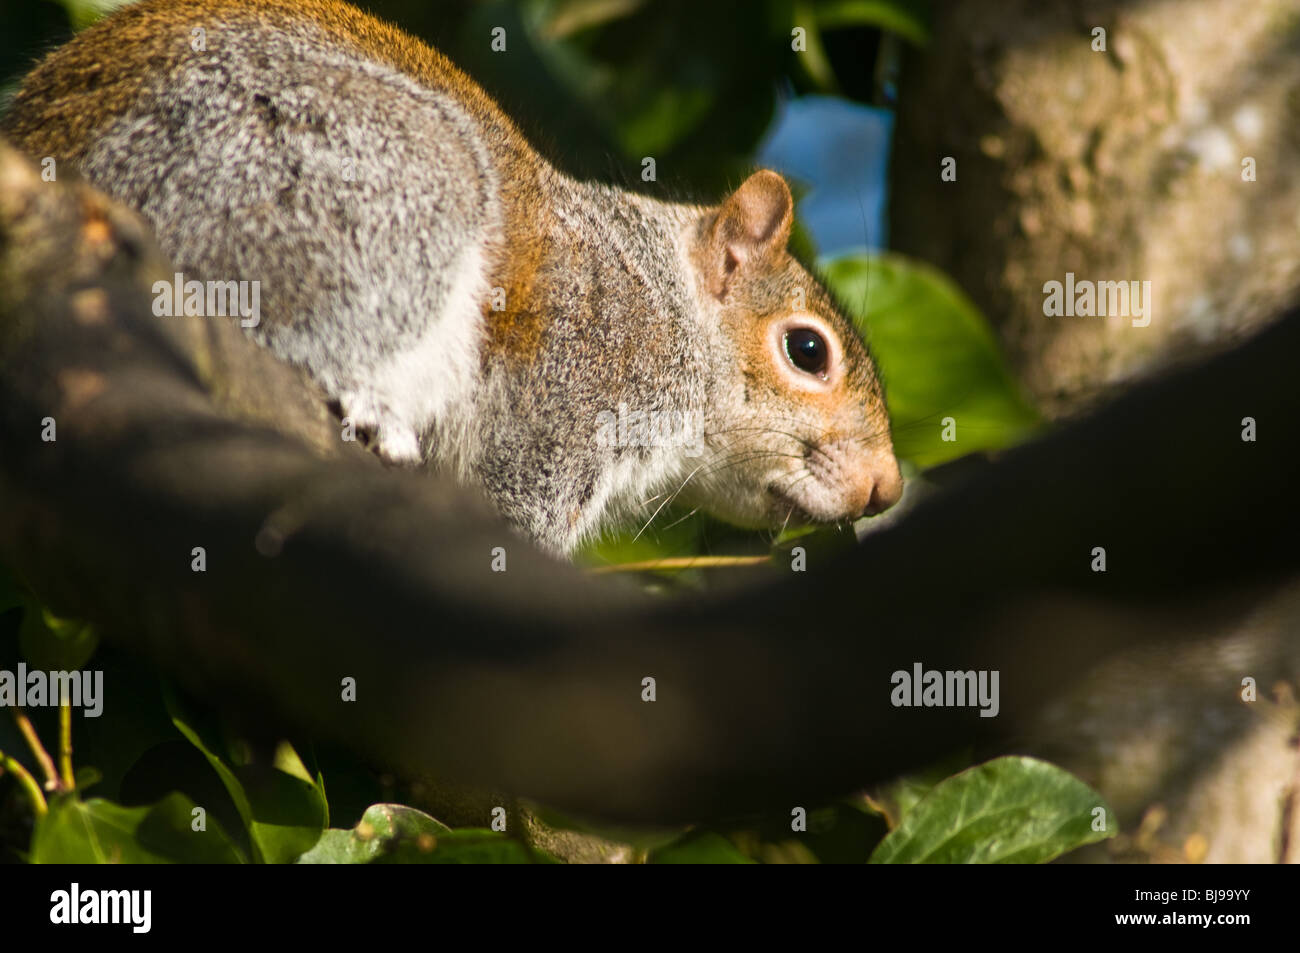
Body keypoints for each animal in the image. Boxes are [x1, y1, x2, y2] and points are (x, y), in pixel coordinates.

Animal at [5, 0, 904, 551]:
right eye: (808, 352)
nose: (887, 488)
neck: (663, 300)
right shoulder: (570, 385)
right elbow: (515, 506)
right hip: (363, 184)